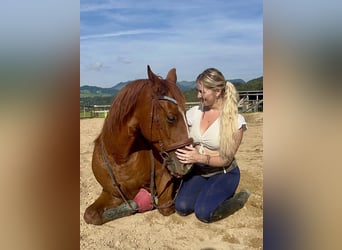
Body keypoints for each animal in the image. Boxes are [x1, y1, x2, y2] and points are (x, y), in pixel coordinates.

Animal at [83, 64, 192, 225]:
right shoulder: (111, 193)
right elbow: (90, 214)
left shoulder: (166, 178)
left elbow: (165, 208)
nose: (187, 165)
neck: (120, 158)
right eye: (171, 118)